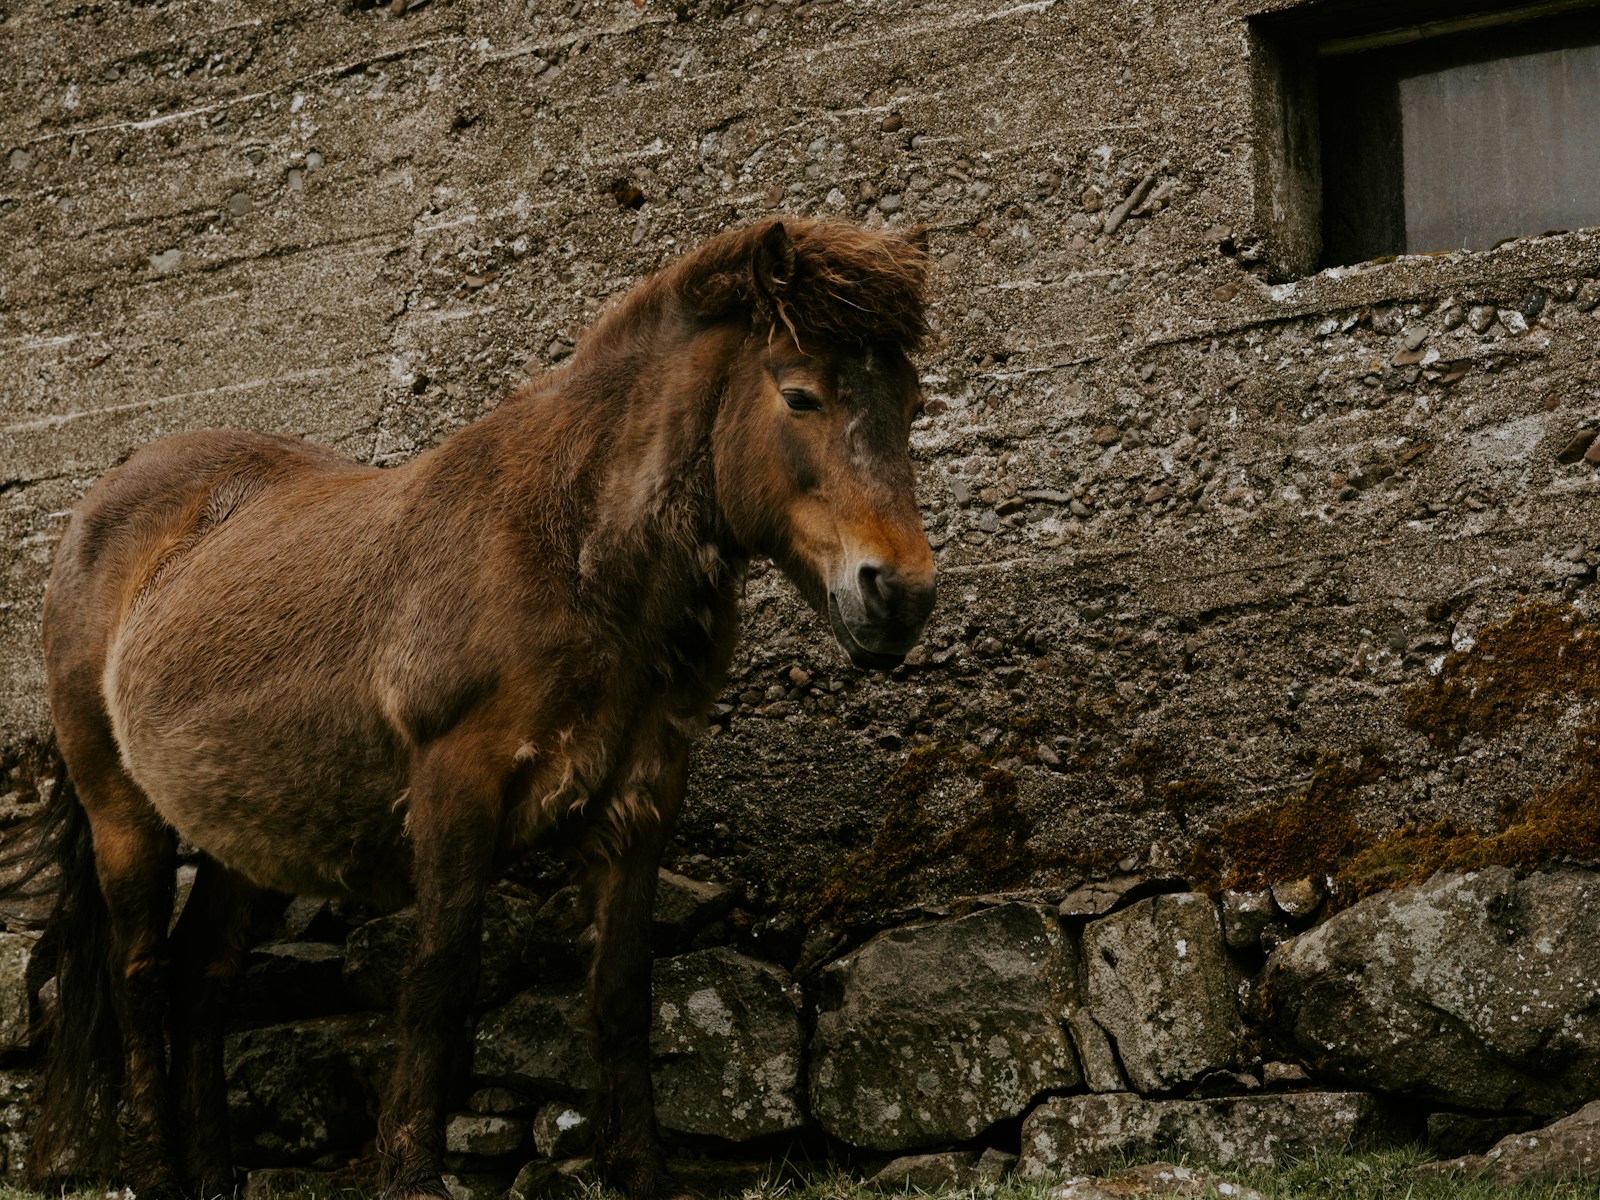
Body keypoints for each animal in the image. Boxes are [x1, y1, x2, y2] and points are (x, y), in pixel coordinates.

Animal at [15, 217, 936, 1200]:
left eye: (912, 404)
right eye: (800, 395)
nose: (901, 595)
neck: (573, 549)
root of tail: (100, 508)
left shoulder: (641, 794)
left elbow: (622, 989)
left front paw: (638, 1171)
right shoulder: (458, 780)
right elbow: (441, 976)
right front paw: (412, 1169)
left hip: (246, 834)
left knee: (204, 980)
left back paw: (216, 1176)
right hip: (124, 814)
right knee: (141, 978)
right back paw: (156, 1170)